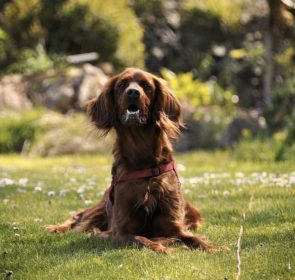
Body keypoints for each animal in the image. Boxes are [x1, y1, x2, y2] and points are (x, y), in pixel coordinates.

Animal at [45, 68, 220, 254]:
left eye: (146, 86)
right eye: (122, 84)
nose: (133, 92)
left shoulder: (175, 226)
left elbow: (193, 238)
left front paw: (214, 248)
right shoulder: (120, 231)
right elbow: (141, 238)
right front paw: (161, 248)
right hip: (99, 211)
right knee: (79, 219)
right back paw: (56, 228)